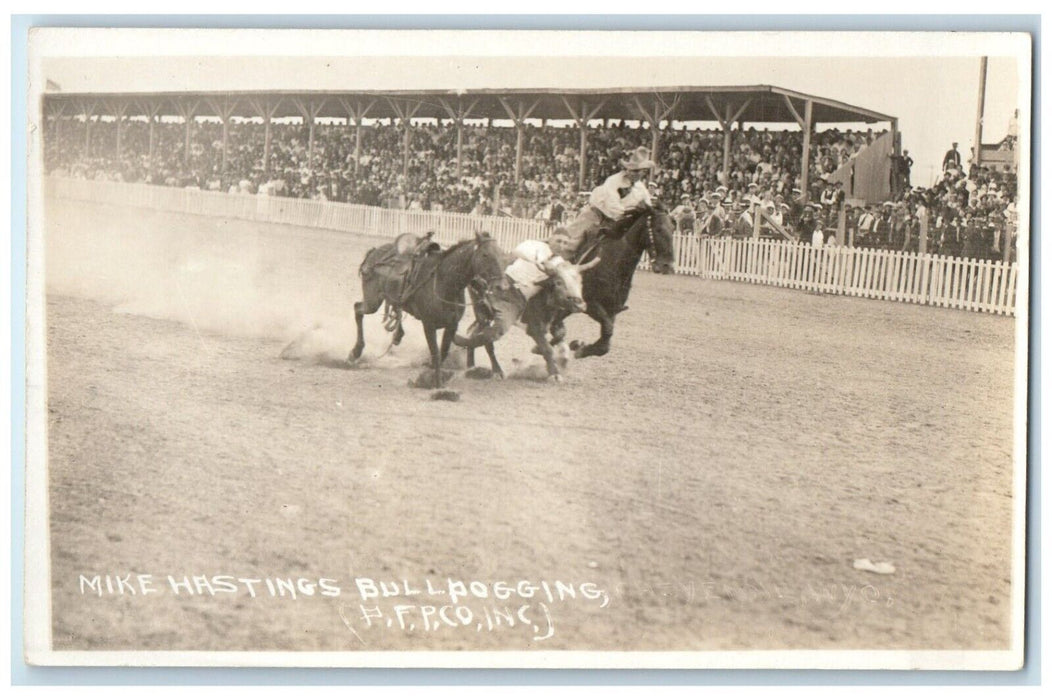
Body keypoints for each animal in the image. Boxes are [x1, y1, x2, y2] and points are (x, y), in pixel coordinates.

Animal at [349, 233, 504, 387]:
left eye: (500, 254)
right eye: (485, 255)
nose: (500, 285)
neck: (444, 281)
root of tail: (374, 252)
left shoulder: (452, 325)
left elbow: (443, 352)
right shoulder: (429, 325)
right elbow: (435, 353)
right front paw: (437, 383)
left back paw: (397, 335)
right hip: (372, 302)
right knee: (357, 309)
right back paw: (355, 352)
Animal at [551, 201, 673, 355]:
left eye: (673, 229)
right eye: (658, 229)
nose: (667, 266)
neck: (612, 262)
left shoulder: (612, 310)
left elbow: (605, 344)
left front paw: (578, 346)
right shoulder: (591, 305)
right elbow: (607, 331)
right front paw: (577, 347)